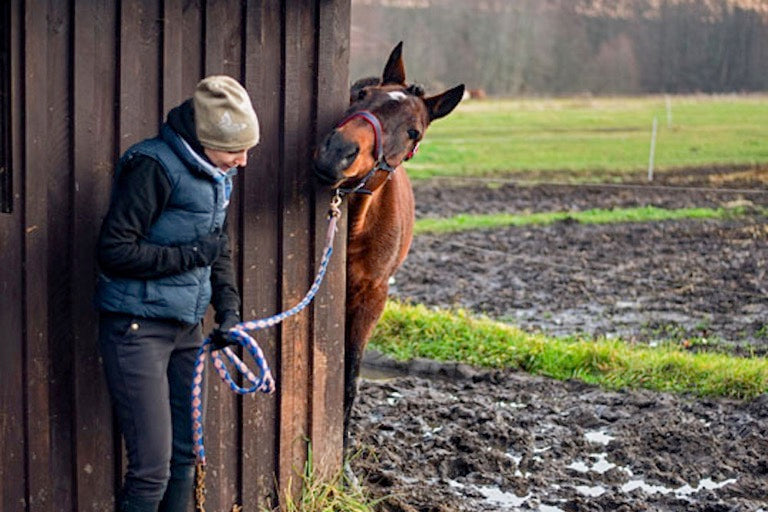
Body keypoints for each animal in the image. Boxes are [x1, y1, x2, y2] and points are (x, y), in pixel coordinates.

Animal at [312, 43, 462, 444]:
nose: (337, 152)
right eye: (362, 95)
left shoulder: (372, 297)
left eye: (413, 132)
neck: (356, 226)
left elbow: (350, 375)